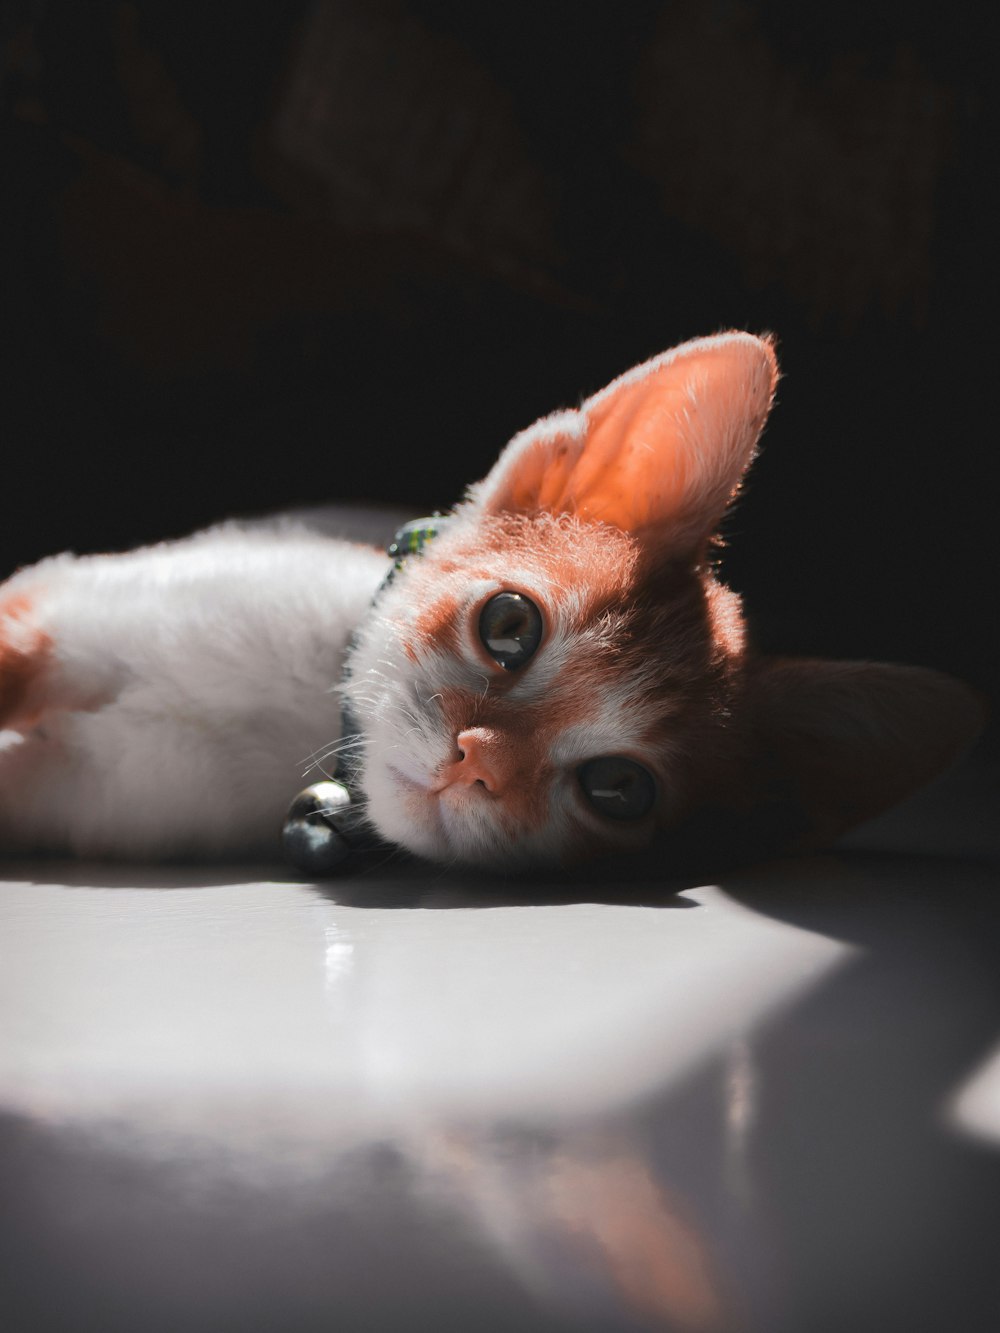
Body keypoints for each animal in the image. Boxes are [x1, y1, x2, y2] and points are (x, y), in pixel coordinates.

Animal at [0, 331, 986, 869]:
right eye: (509, 624)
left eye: (618, 788)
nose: (477, 759)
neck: (292, 703)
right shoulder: (62, 598)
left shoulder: (94, 792)